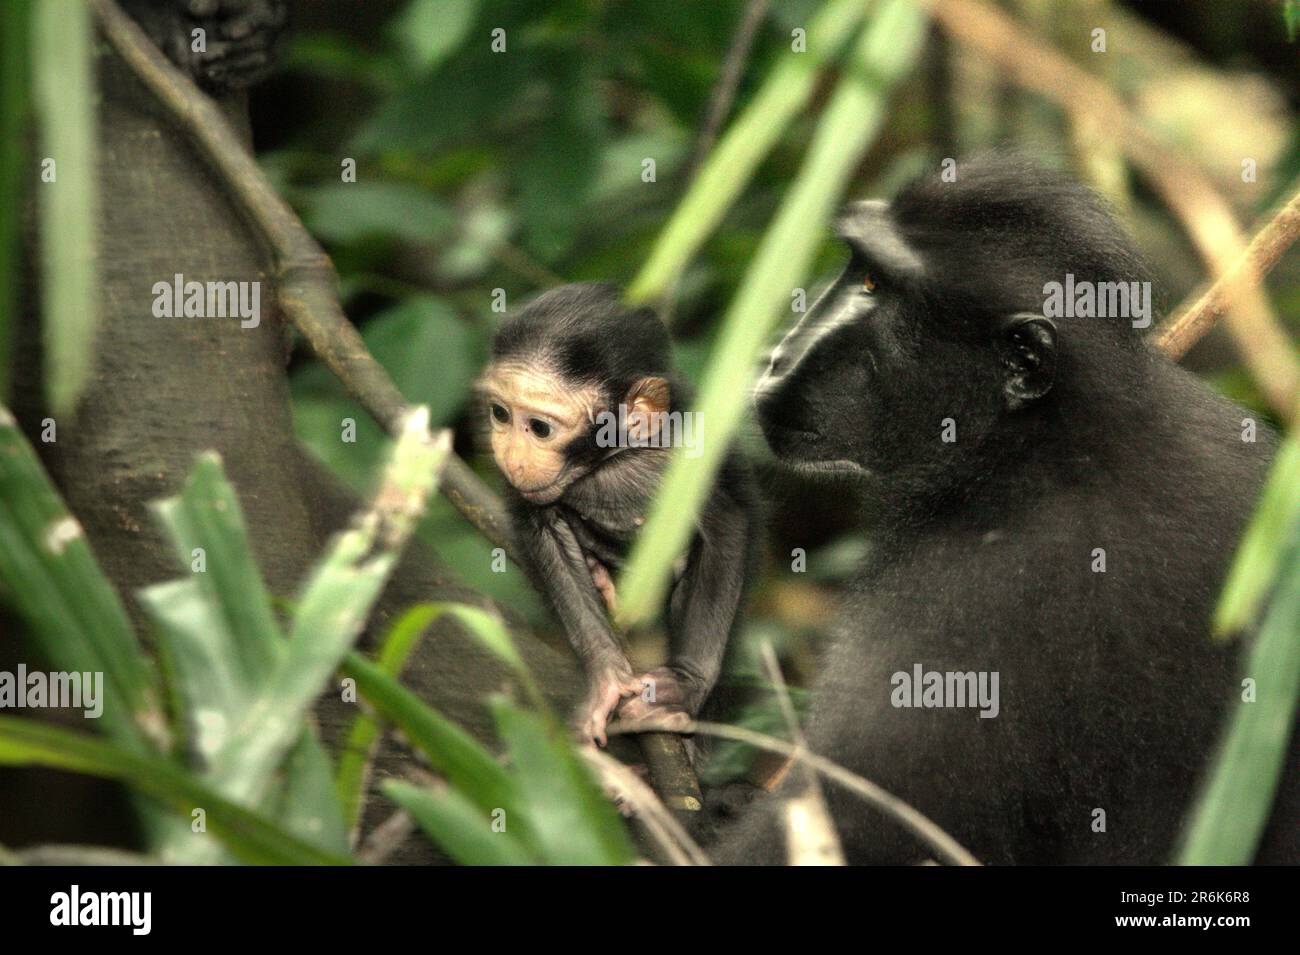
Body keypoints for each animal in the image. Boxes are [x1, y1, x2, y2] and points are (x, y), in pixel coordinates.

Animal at [478, 283, 760, 747]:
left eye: (539, 428)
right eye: (501, 414)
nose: (511, 457)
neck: (611, 460)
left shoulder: (682, 457)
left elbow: (727, 526)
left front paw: (687, 683)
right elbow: (542, 525)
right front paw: (606, 675)